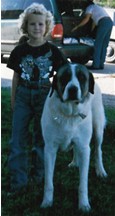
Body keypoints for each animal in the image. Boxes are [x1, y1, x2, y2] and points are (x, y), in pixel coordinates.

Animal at [40, 62, 107, 213]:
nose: (72, 89)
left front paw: (84, 204)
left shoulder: (85, 148)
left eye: (82, 78)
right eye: (64, 77)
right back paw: (75, 162)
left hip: (98, 128)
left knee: (98, 150)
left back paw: (100, 170)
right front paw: (47, 202)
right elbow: (48, 181)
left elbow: (83, 183)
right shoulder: (49, 149)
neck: (69, 115)